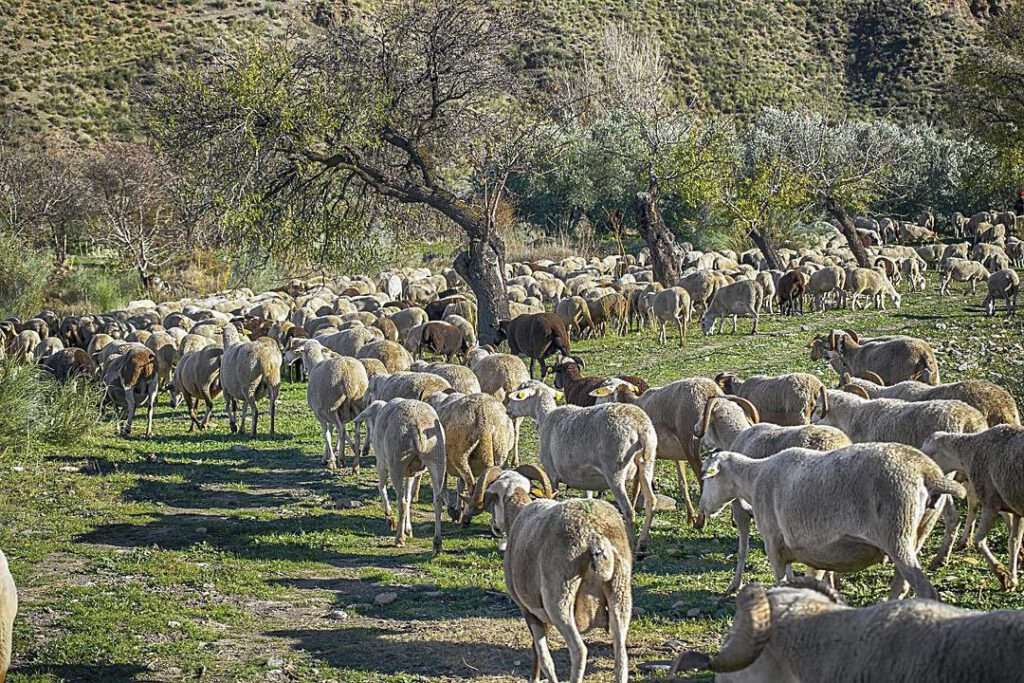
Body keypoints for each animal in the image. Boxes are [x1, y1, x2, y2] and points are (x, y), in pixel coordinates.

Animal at [300, 340, 369, 472]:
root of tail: (348, 377)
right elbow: (337, 432)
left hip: (331, 407)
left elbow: (327, 434)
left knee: (341, 431)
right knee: (356, 433)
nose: (304, 370)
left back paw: (340, 460)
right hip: (357, 406)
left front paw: (329, 459)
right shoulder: (339, 415)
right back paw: (355, 465)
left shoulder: (320, 414)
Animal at [353, 398, 447, 553]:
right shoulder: (410, 474)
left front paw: (390, 517)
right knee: (437, 501)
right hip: (437, 459)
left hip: (397, 462)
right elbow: (409, 498)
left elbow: (381, 487)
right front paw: (408, 529)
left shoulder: (382, 463)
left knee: (401, 501)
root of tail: (417, 423)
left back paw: (399, 539)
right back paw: (437, 543)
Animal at [507, 381, 657, 549]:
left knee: (629, 511)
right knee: (651, 501)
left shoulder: (552, 474)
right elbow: (588, 501)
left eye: (519, 394)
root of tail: (639, 427)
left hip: (615, 470)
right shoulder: (586, 479)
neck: (545, 417)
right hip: (648, 462)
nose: (508, 409)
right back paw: (642, 542)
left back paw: (632, 546)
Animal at [698, 443, 965, 599]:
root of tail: (928, 472)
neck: (754, 479)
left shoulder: (773, 543)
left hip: (897, 532)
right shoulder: (809, 550)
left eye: (707, 478)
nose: (702, 509)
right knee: (902, 587)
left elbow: (782, 581)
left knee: (926, 592)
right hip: (919, 531)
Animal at [923, 427, 1024, 590]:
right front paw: (1013, 579)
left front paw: (1002, 575)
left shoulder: (990, 504)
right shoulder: (1015, 508)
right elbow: (1013, 542)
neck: (968, 452)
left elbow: (978, 541)